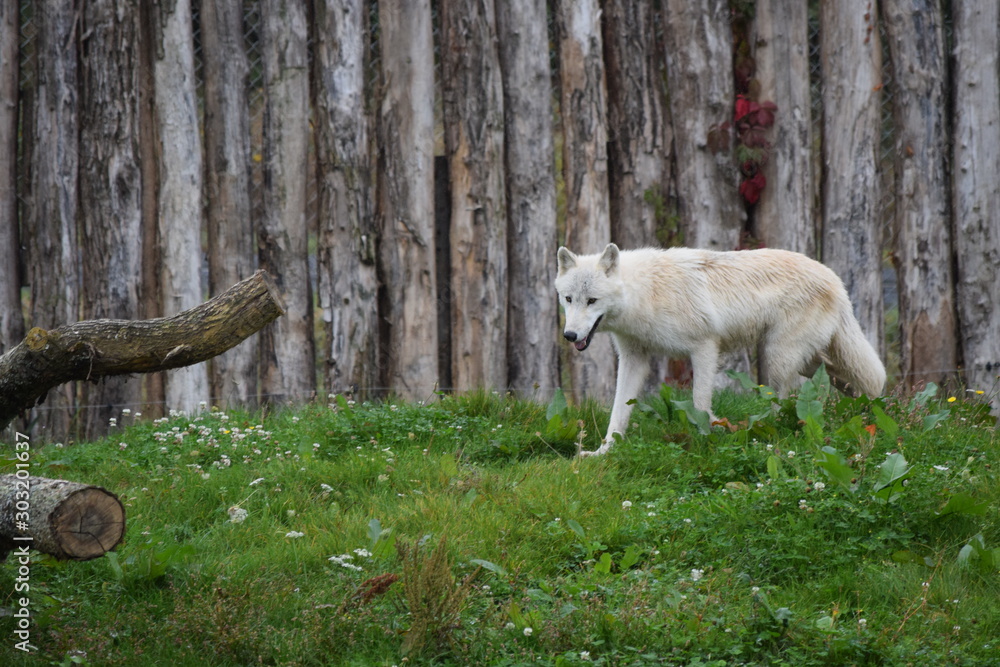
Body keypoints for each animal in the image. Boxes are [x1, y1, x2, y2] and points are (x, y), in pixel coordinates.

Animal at [555, 243, 886, 456]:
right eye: (569, 299)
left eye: (592, 301)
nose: (570, 335)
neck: (646, 293)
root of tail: (835, 279)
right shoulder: (633, 358)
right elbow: (618, 413)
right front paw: (604, 452)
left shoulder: (704, 347)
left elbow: (700, 403)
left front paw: (705, 438)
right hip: (804, 359)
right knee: (840, 380)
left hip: (777, 358)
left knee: (787, 397)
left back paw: (772, 429)